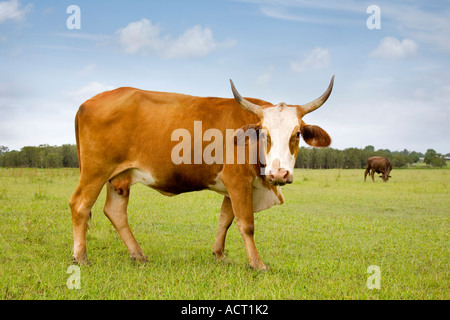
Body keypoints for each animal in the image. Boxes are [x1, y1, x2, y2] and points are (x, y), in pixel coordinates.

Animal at [68, 76, 332, 268]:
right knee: (80, 205)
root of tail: (87, 102)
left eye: (297, 134)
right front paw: (257, 264)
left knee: (115, 212)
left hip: (118, 178)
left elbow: (225, 219)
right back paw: (80, 257)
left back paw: (138, 255)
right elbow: (246, 223)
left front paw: (219, 255)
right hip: (95, 172)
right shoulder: (237, 181)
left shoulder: (233, 186)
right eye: (265, 133)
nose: (279, 174)